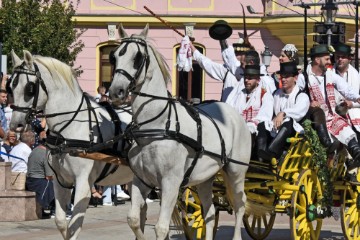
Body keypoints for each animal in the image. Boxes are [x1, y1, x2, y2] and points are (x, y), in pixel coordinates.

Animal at [9, 49, 134, 239]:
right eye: (10, 86)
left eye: (29, 88)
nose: (15, 125)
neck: (69, 131)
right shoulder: (60, 181)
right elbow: (62, 222)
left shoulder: (83, 182)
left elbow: (75, 225)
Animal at [108, 23, 252, 239]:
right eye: (114, 56)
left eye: (137, 57)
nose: (115, 91)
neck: (156, 126)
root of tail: (235, 115)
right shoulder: (141, 180)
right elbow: (133, 219)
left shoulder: (171, 182)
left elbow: (161, 227)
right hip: (205, 178)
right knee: (210, 212)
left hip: (236, 173)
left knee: (240, 206)